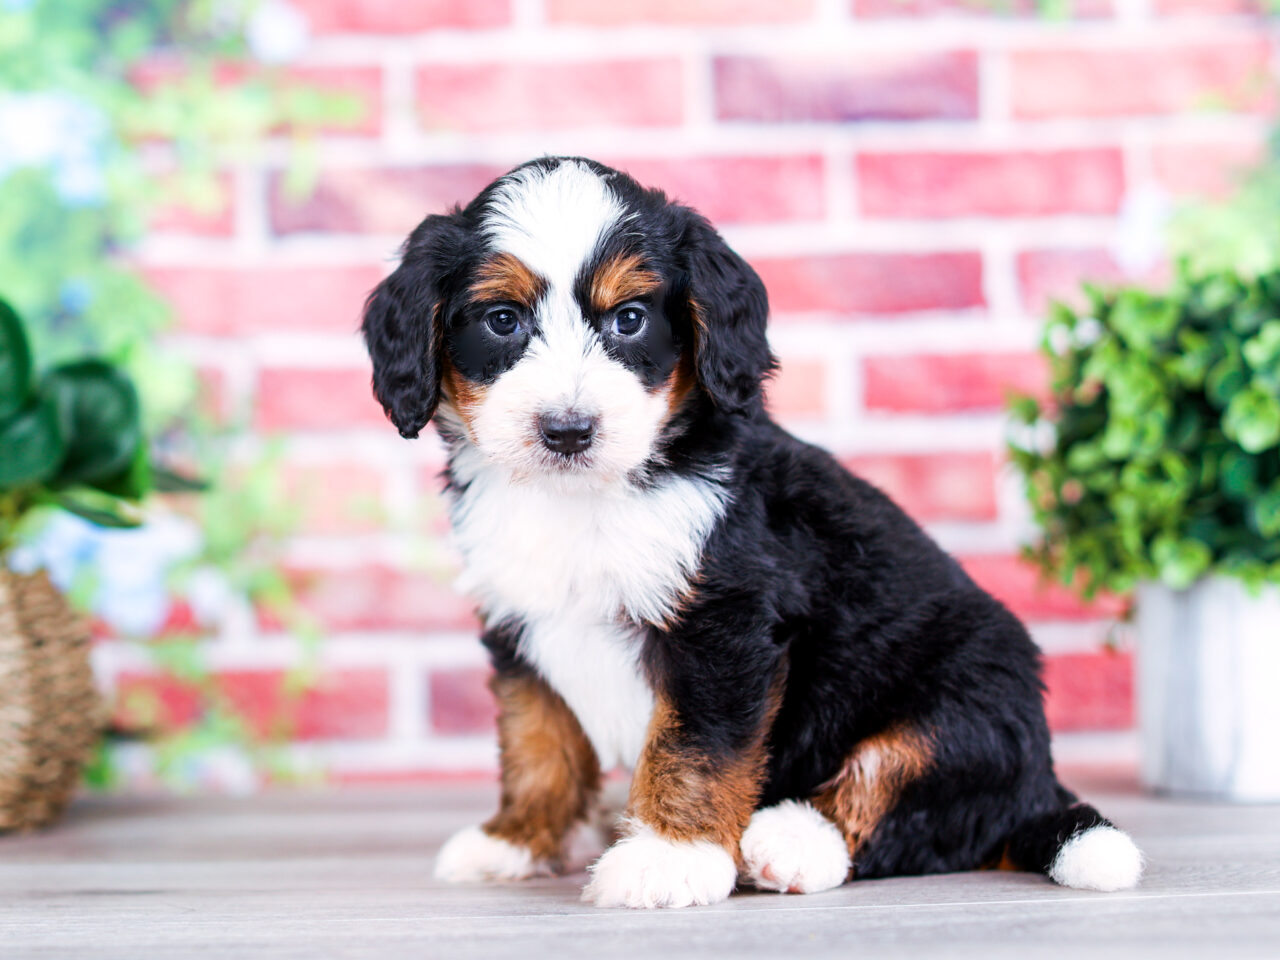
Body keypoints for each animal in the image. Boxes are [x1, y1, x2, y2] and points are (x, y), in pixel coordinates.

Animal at [358, 156, 1141, 911]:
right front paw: (517, 840)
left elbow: (695, 748)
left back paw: (792, 841)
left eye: (630, 320)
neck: (586, 498)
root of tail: (1039, 782)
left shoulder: (724, 624)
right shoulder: (521, 627)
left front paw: (667, 857)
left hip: (976, 685)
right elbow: (536, 745)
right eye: (502, 321)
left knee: (913, 792)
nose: (569, 430)